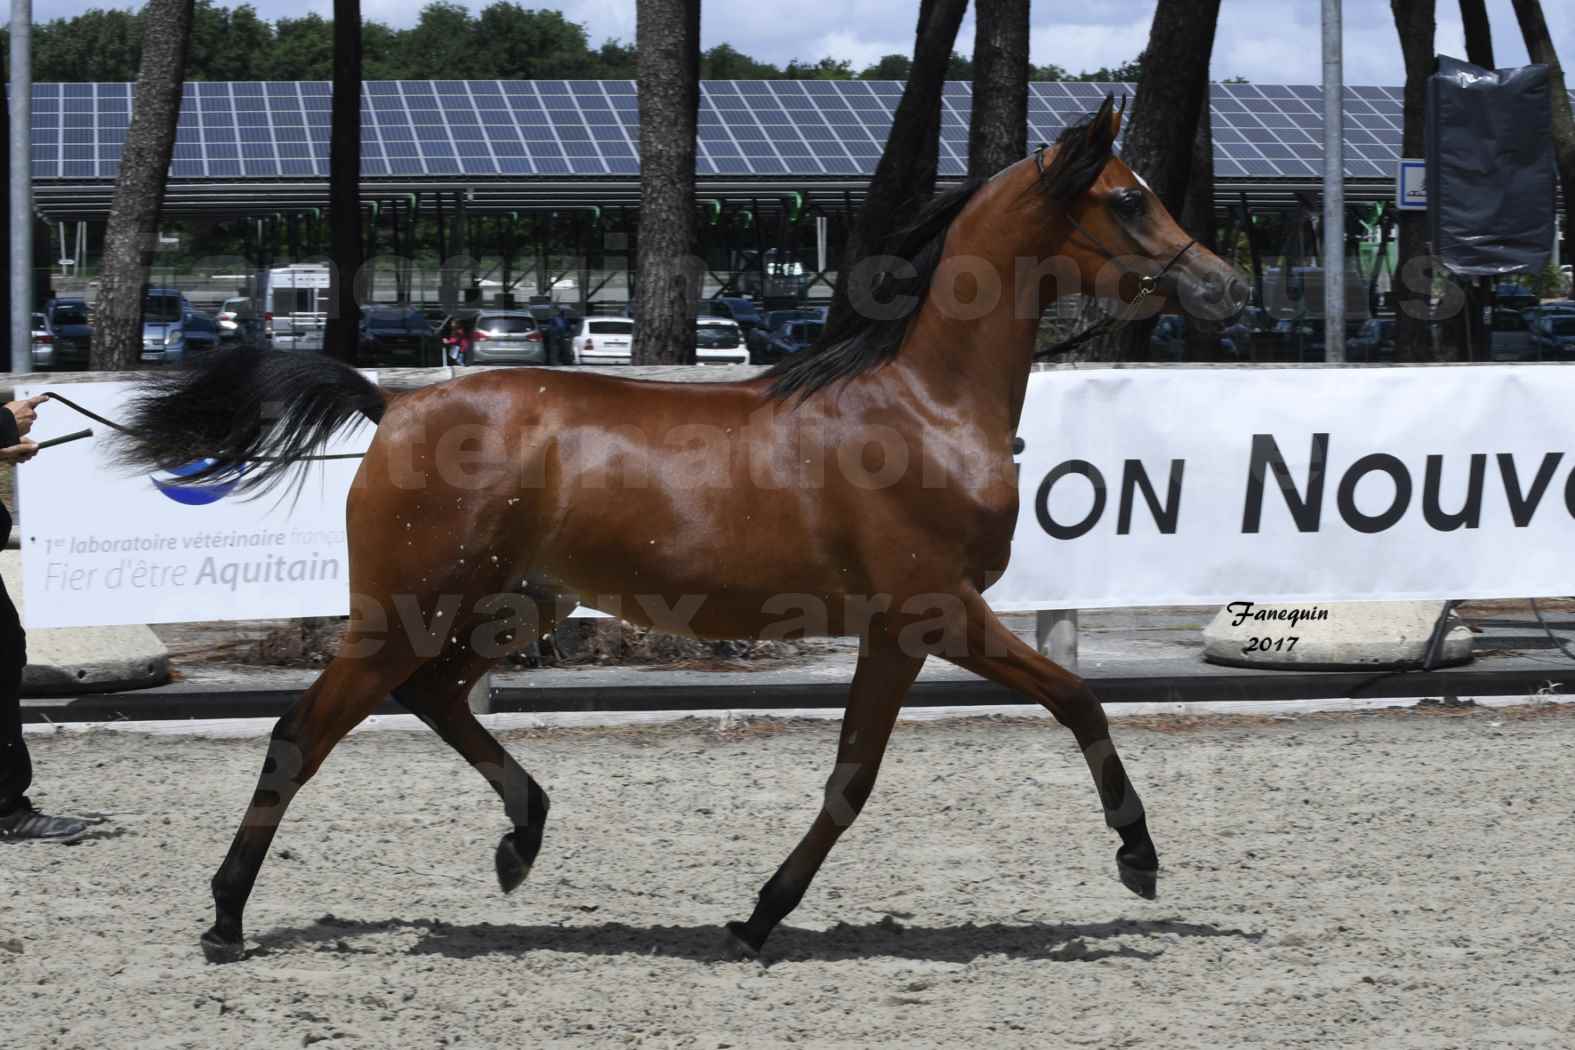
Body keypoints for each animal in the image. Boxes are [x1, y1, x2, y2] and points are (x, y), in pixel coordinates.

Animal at [116, 98, 1247, 963]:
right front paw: (1138, 860)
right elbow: (1076, 700)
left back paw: (522, 839)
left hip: (502, 609)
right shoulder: (939, 612)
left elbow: (852, 779)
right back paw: (226, 919)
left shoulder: (894, 632)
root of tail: (394, 403)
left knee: (433, 698)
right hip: (406, 610)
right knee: (302, 734)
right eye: (1127, 198)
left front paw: (755, 920)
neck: (923, 409)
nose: (1224, 284)